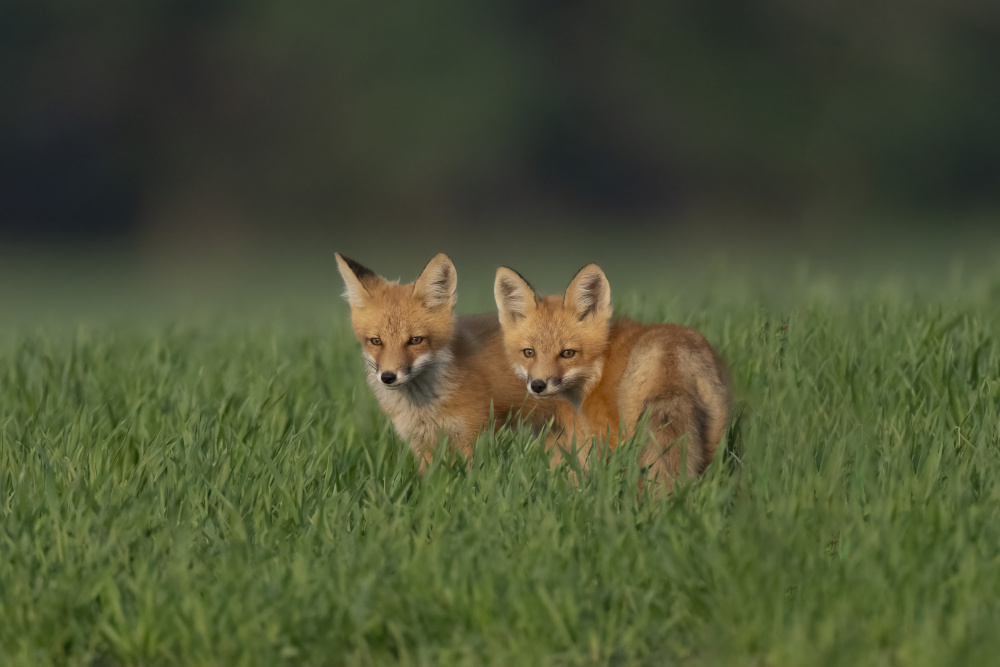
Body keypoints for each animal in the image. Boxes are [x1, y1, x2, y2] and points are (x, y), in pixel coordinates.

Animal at [336, 252, 552, 469]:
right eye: (376, 341)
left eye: (415, 340)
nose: (388, 377)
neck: (424, 408)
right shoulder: (422, 444)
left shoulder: (473, 436)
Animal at [493, 263, 731, 488]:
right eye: (528, 353)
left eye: (568, 353)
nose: (538, 385)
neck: (599, 367)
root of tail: (671, 355)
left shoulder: (602, 435)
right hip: (713, 440)